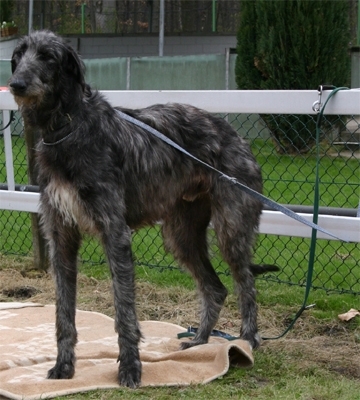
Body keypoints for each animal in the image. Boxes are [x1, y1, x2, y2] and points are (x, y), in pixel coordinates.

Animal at [8, 30, 278, 388]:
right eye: (19, 55)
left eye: (48, 56)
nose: (16, 84)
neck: (67, 126)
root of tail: (236, 135)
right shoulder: (61, 235)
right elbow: (63, 311)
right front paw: (64, 367)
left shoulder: (114, 230)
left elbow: (124, 310)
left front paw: (130, 368)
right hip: (181, 233)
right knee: (215, 287)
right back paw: (200, 342)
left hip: (231, 226)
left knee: (245, 282)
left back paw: (248, 340)